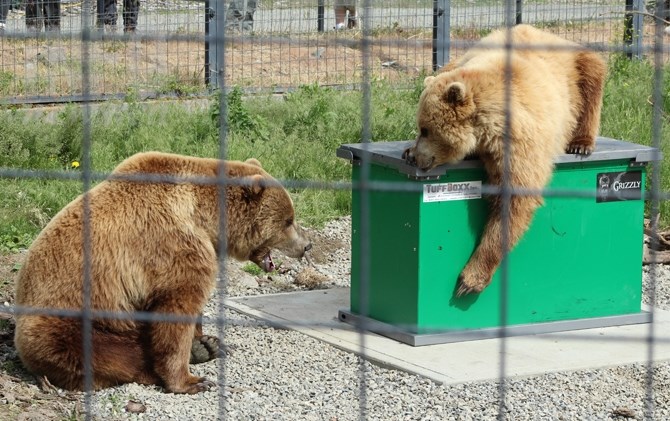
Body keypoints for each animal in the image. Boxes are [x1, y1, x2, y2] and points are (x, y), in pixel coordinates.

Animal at [13, 152, 312, 394]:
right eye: (288, 221)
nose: (306, 245)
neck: (204, 216)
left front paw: (203, 340)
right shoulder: (172, 244)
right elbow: (177, 307)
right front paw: (191, 380)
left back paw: (208, 347)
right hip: (72, 322)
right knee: (108, 355)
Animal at [404, 23, 608, 296]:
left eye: (425, 129)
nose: (416, 158)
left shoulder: (518, 142)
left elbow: (514, 199)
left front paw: (469, 280)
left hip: (574, 70)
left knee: (592, 74)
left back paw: (580, 144)